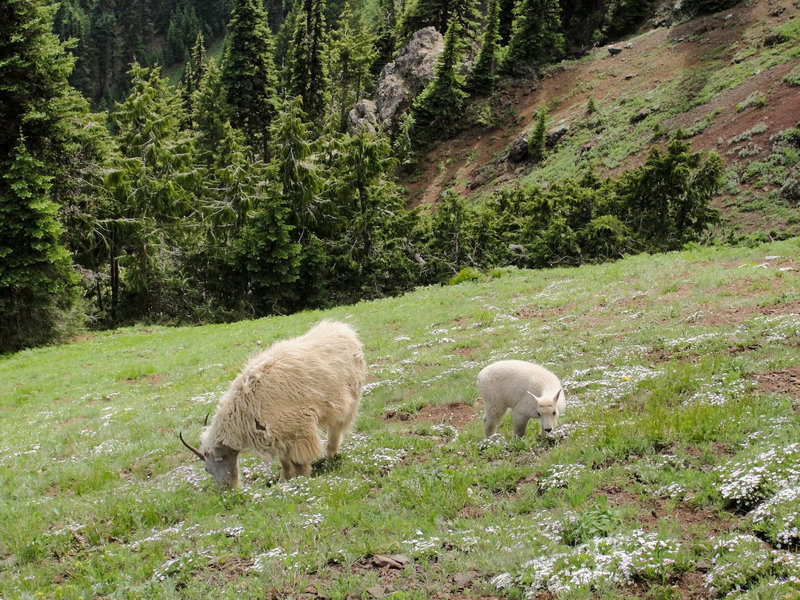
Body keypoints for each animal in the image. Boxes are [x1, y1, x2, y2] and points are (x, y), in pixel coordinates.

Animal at [181, 318, 366, 488]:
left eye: (207, 468)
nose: (226, 490)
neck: (244, 408)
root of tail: (346, 330)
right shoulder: (278, 434)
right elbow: (284, 460)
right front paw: (283, 480)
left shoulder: (299, 427)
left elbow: (298, 461)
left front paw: (303, 478)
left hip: (349, 399)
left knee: (336, 430)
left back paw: (331, 457)